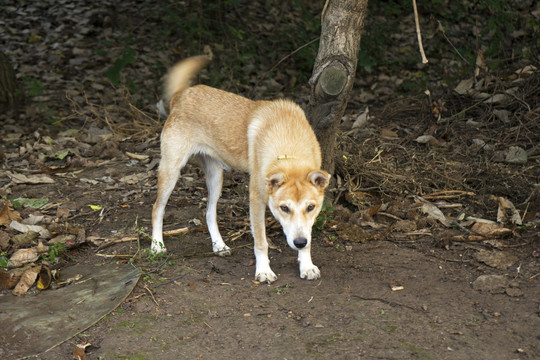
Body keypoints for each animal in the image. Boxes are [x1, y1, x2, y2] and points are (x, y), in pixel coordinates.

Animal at [150, 55, 332, 284]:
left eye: (310, 207)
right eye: (284, 208)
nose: (299, 242)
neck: (289, 144)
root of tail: (182, 94)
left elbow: (309, 238)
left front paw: (306, 265)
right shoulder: (256, 199)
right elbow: (261, 241)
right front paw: (263, 271)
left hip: (216, 178)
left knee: (209, 213)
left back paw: (218, 245)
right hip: (171, 172)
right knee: (157, 208)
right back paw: (156, 246)